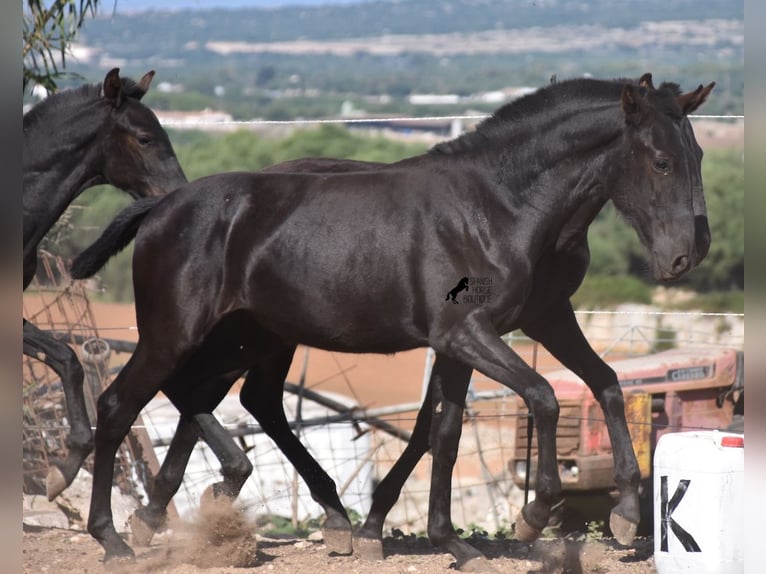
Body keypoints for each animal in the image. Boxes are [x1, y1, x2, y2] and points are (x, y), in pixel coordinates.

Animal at [70, 75, 712, 568]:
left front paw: (460, 540)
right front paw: (533, 515)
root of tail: (160, 206)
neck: (494, 207)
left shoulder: (505, 329)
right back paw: (114, 537)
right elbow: (543, 399)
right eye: (661, 162)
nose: (688, 254)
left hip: (249, 334)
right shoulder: (468, 334)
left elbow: (469, 425)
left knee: (225, 397)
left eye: (699, 156)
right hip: (176, 333)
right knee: (123, 403)